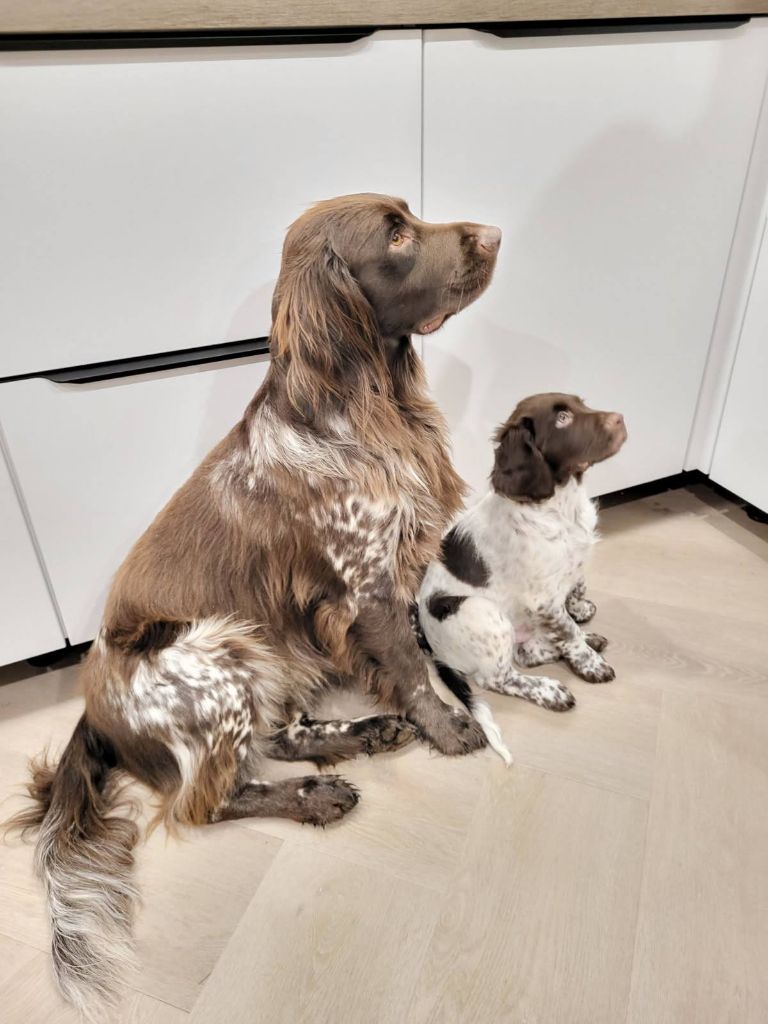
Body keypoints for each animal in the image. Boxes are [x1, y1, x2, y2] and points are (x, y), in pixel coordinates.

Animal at [9, 193, 501, 1015]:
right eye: (397, 235)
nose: (495, 234)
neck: (364, 409)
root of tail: (94, 713)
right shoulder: (364, 580)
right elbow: (408, 667)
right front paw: (449, 724)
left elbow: (417, 647)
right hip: (215, 646)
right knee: (208, 798)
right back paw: (316, 795)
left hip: (264, 649)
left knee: (274, 738)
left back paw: (359, 736)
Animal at [417, 393, 626, 761]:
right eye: (562, 418)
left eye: (581, 404)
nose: (621, 419)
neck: (561, 506)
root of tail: (433, 650)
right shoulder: (542, 600)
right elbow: (568, 631)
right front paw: (591, 664)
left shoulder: (569, 571)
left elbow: (576, 591)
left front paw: (581, 612)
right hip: (480, 612)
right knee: (499, 677)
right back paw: (552, 690)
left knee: (524, 653)